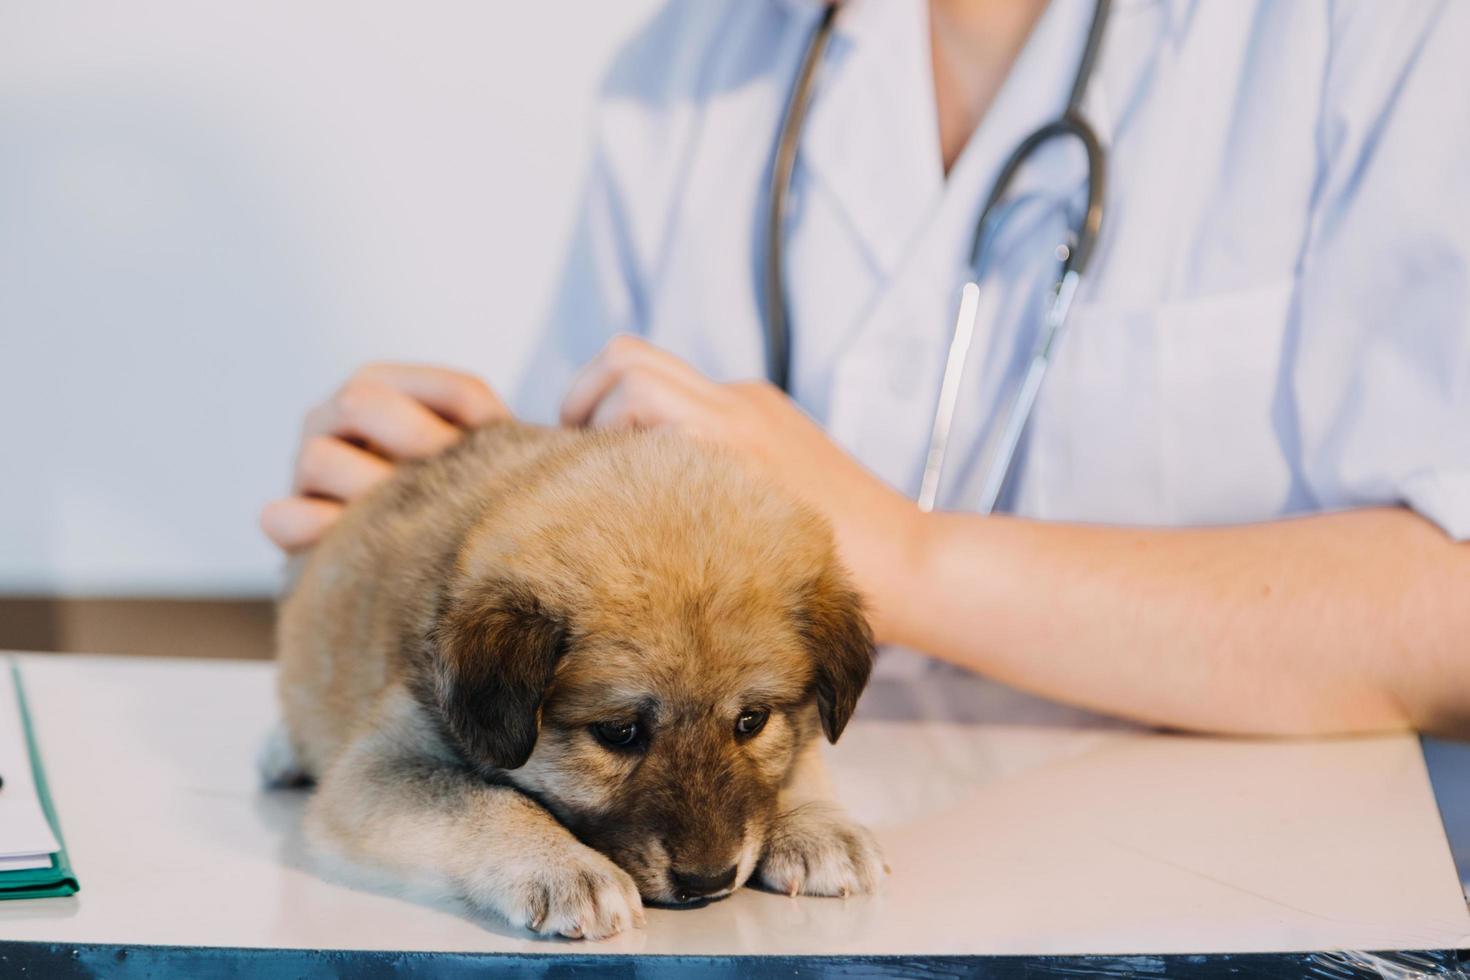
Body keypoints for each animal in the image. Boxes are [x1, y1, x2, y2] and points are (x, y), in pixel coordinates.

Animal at [261, 423, 882, 940]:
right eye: (618, 732)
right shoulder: (380, 764)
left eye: (752, 721)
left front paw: (817, 826)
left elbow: (800, 762)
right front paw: (567, 869)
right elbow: (484, 800)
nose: (708, 882)